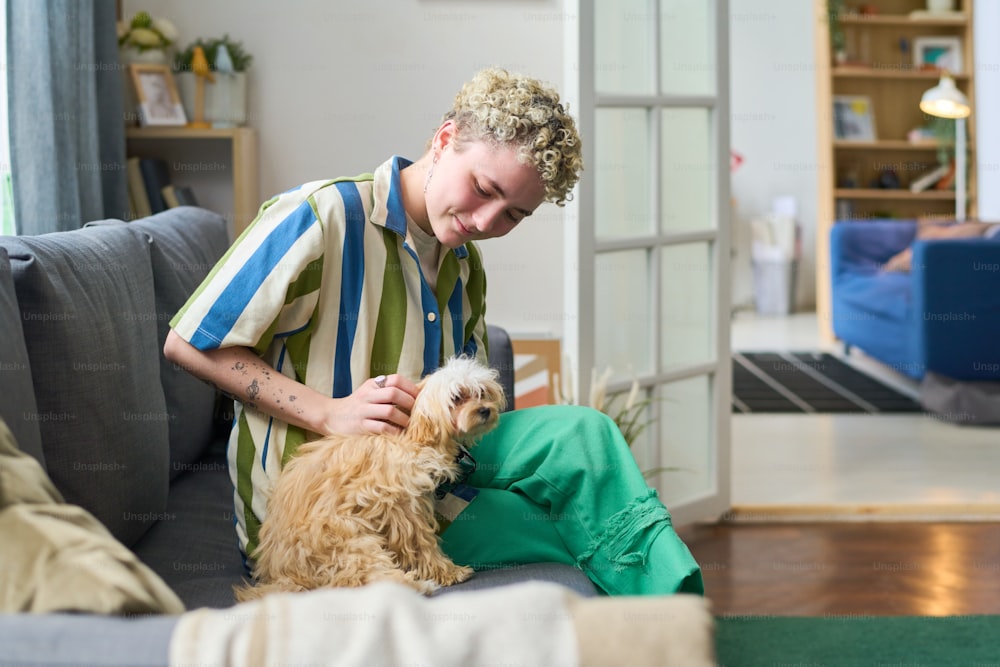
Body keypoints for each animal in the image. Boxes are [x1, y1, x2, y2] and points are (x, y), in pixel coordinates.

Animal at [232, 358, 500, 604]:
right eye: (457, 397)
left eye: (482, 393)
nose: (485, 410)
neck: (413, 432)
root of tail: (285, 576)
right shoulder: (404, 508)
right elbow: (422, 544)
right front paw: (449, 571)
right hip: (349, 540)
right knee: (360, 580)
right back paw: (416, 585)